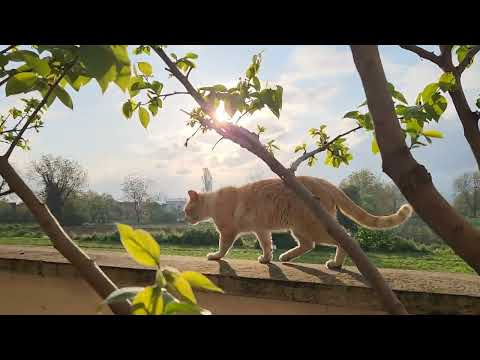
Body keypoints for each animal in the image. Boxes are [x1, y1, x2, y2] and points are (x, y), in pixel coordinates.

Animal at [184, 176, 412, 268]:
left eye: (187, 209)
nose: (185, 218)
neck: (213, 202)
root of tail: (324, 182)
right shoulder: (262, 229)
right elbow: (267, 245)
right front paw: (266, 259)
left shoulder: (228, 232)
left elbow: (223, 248)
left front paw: (215, 256)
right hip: (299, 229)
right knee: (308, 245)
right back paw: (286, 256)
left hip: (315, 227)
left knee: (346, 238)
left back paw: (336, 264)